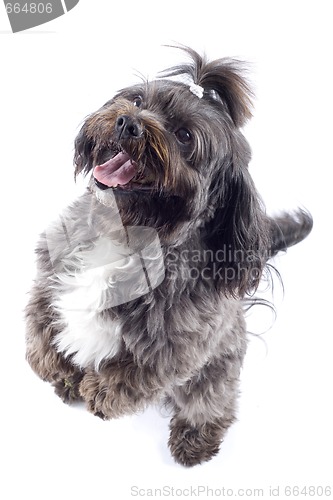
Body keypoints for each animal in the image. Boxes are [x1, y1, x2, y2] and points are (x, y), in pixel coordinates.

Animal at [26, 46, 312, 464]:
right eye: (137, 100)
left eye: (184, 136)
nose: (128, 122)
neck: (126, 232)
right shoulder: (51, 274)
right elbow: (40, 322)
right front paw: (54, 365)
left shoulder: (179, 346)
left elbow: (135, 372)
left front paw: (102, 393)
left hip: (216, 370)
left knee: (209, 400)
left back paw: (195, 438)